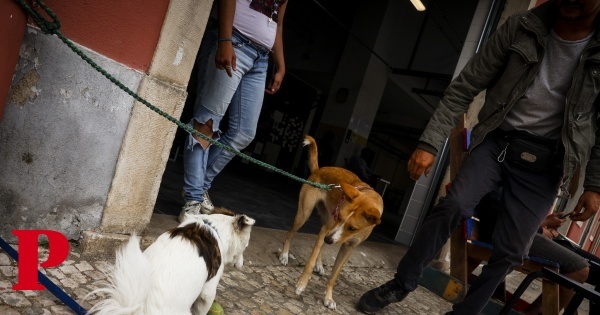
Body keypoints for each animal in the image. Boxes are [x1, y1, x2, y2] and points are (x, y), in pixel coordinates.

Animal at [278, 135, 382, 310]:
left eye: (352, 228)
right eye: (339, 217)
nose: (328, 239)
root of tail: (319, 170)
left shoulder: (348, 247)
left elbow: (334, 276)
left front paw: (328, 297)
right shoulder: (330, 229)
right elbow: (309, 262)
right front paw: (302, 284)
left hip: (324, 221)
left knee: (319, 241)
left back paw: (320, 265)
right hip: (304, 215)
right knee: (290, 233)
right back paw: (285, 255)